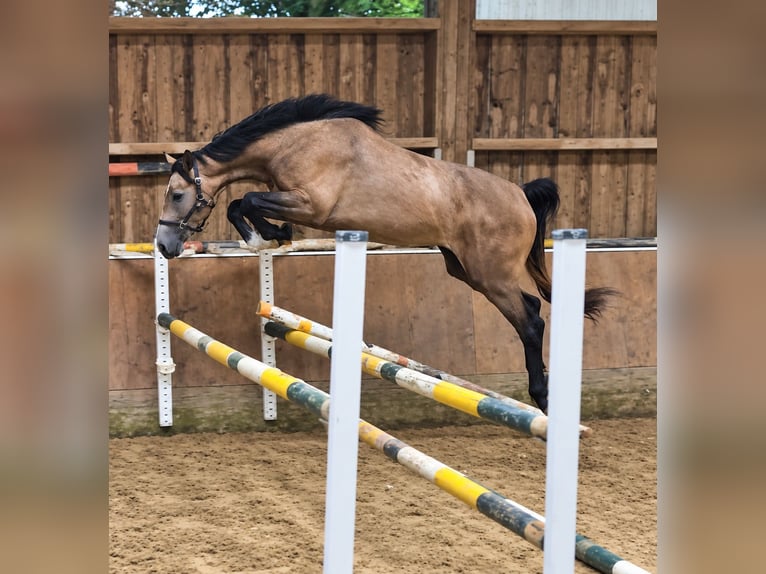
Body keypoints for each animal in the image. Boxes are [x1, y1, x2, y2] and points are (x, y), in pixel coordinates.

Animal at [156, 94, 614, 412]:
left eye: (177, 195)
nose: (163, 245)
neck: (296, 144)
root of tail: (521, 195)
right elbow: (241, 203)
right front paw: (271, 236)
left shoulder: (311, 205)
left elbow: (246, 200)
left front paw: (269, 235)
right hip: (465, 269)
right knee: (532, 308)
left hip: (491, 275)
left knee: (532, 320)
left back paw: (543, 398)